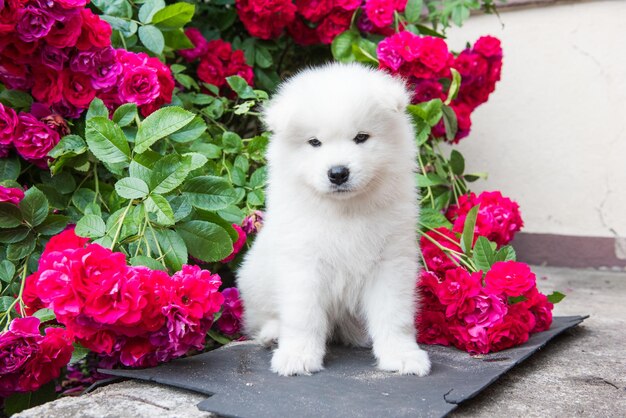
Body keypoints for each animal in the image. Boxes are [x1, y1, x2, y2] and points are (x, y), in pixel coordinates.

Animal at [234, 62, 428, 378]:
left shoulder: (391, 262)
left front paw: (401, 355)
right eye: (314, 142)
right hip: (253, 279)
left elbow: (394, 315)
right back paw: (273, 334)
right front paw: (298, 356)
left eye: (361, 137)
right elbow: (303, 316)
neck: (344, 210)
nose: (338, 173)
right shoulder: (303, 263)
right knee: (261, 318)